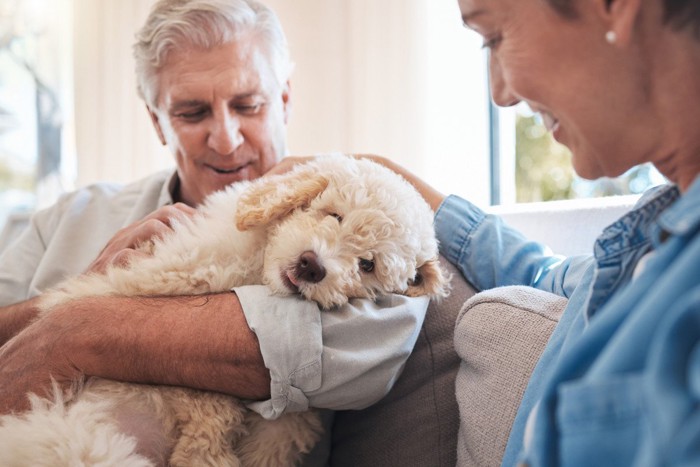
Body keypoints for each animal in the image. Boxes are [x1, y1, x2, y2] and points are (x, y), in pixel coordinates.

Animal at [0, 154, 448, 467]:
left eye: (367, 264)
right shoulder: (159, 276)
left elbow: (274, 429)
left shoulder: (286, 417)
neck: (256, 266)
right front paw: (208, 449)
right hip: (74, 440)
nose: (312, 265)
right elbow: (204, 398)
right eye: (333, 215)